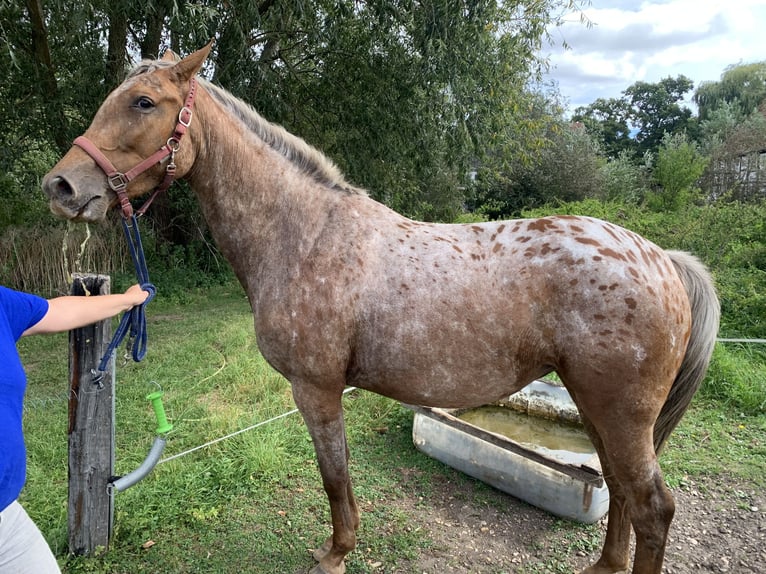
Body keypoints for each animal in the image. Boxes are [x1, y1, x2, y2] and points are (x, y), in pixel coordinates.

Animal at [42, 43, 719, 574]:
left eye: (144, 102)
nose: (62, 187)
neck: (304, 235)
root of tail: (663, 259)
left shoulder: (316, 389)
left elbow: (335, 476)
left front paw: (336, 552)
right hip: (600, 408)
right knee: (624, 493)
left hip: (619, 412)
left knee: (653, 508)